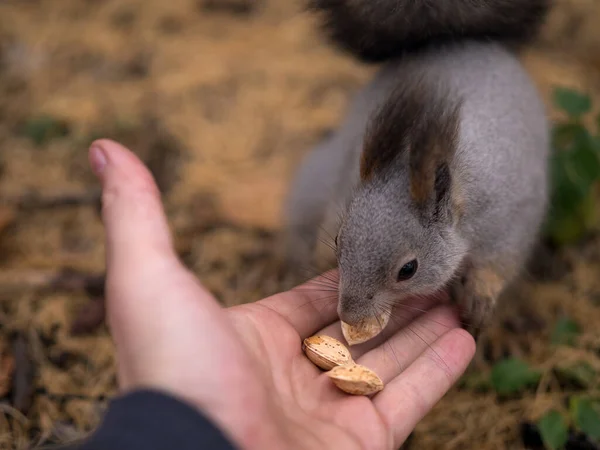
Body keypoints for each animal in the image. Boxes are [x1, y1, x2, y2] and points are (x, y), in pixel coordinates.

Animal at [282, 0, 552, 338]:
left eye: (408, 270)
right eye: (337, 241)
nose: (349, 314)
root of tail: (452, 42)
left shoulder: (510, 218)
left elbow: (501, 261)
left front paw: (479, 298)